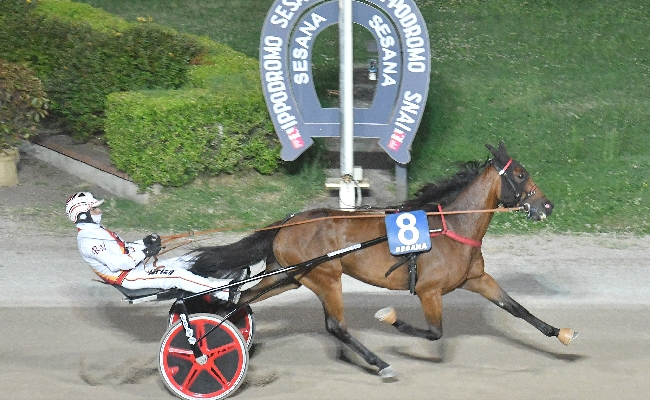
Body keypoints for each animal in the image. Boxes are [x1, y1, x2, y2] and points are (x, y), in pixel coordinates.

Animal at [189, 143, 576, 378]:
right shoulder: (429, 291)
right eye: (521, 174)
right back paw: (380, 362)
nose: (547, 205)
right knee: (336, 326)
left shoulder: (477, 279)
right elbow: (434, 332)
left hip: (289, 275)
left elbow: (516, 308)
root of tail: (288, 222)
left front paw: (561, 333)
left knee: (240, 299)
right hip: (324, 276)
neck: (453, 226)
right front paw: (392, 321)